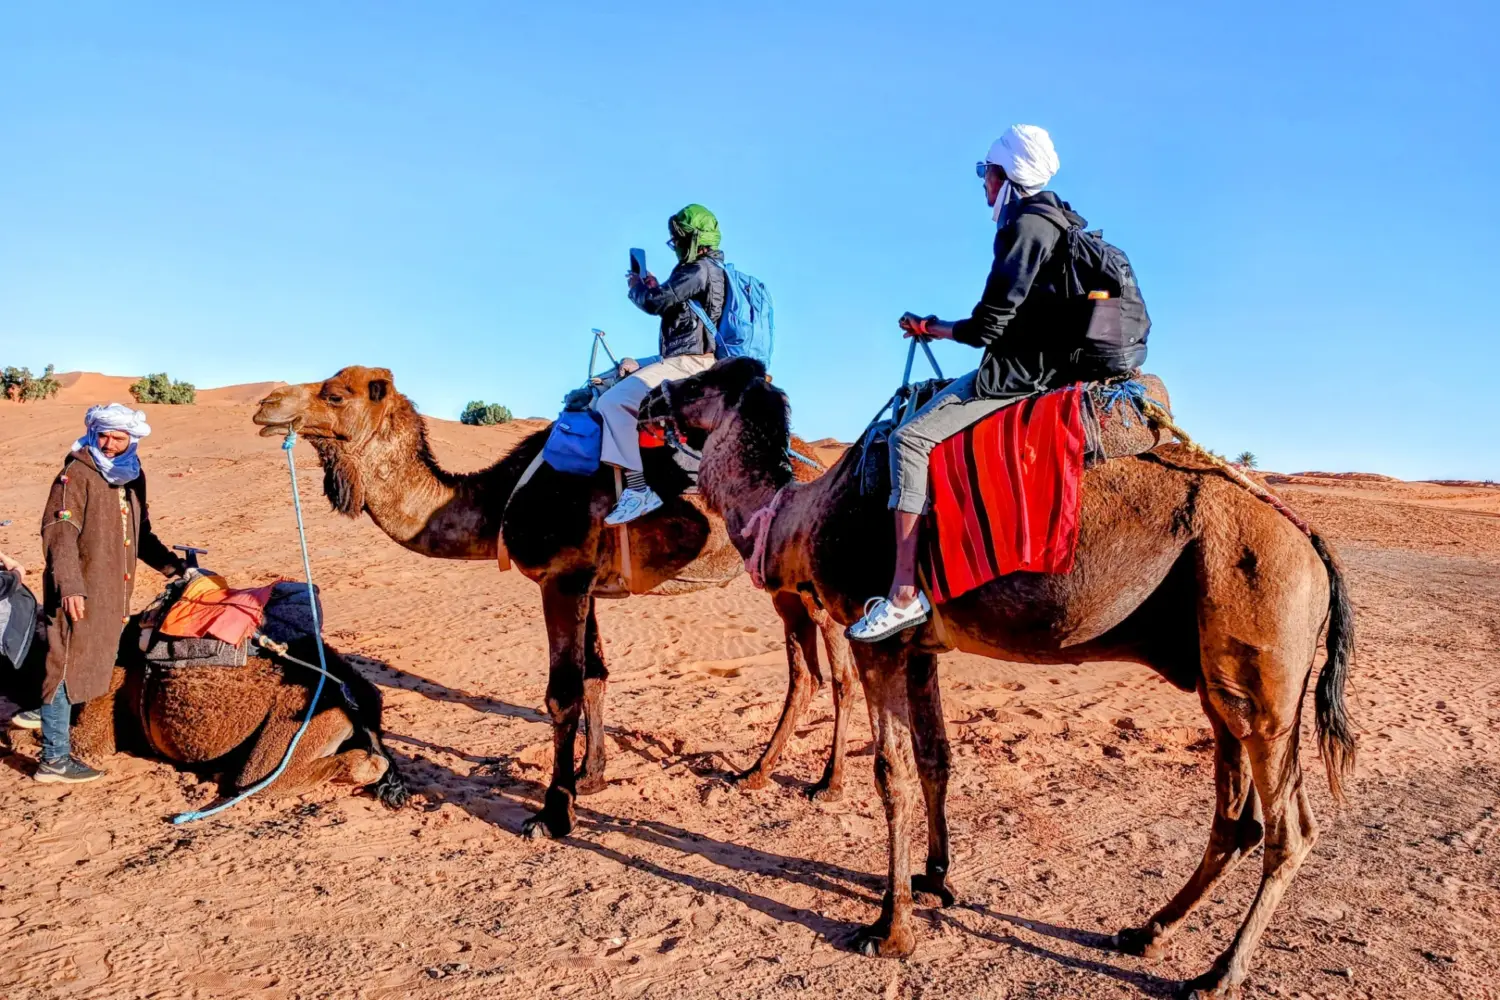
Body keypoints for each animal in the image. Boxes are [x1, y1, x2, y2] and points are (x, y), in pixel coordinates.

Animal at [253, 366, 857, 838]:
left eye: (335, 394)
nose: (266, 403)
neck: (501, 501)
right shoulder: (586, 584)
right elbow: (594, 676)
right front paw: (591, 777)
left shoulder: (561, 580)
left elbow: (560, 695)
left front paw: (553, 812)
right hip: (780, 588)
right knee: (804, 672)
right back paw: (754, 772)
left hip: (813, 583)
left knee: (841, 675)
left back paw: (827, 784)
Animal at [639, 358, 1358, 999]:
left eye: (700, 380)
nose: (648, 399)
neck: (805, 512)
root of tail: (1313, 544)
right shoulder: (920, 645)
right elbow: (935, 759)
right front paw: (934, 881)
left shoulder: (877, 639)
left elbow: (892, 774)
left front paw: (889, 929)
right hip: (1221, 677)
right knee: (1237, 820)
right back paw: (1145, 933)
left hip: (1262, 660)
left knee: (1291, 829)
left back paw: (1217, 976)